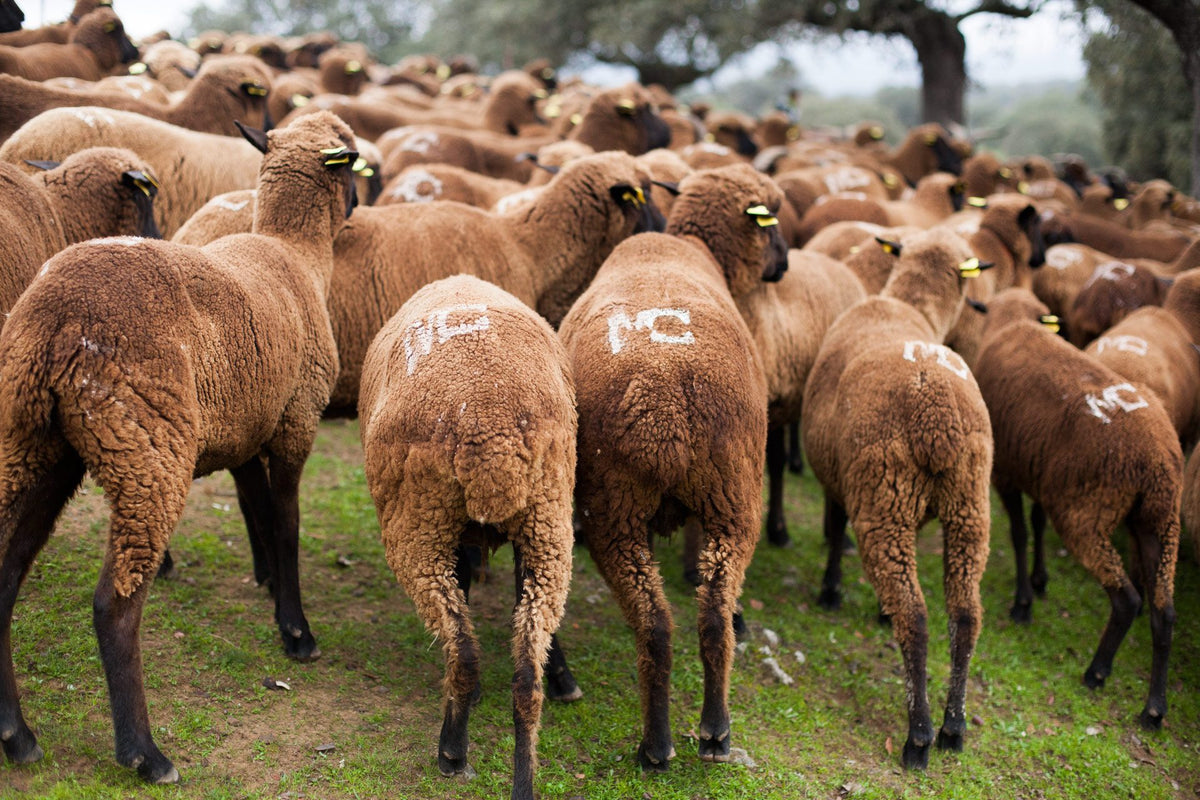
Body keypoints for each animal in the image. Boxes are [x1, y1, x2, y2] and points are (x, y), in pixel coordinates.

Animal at [360, 275, 576, 800]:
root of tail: (489, 423)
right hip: (547, 520)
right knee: (527, 674)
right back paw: (523, 783)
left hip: (419, 524)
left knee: (462, 648)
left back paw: (451, 752)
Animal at [555, 164, 787, 770]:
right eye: (773, 223)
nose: (784, 265)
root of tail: (666, 406)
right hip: (715, 498)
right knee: (690, 619)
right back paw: (694, 734)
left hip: (658, 504)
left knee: (676, 620)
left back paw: (680, 738)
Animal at [801, 228, 992, 769]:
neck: (907, 304)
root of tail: (936, 409)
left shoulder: (840, 480)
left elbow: (833, 530)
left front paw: (830, 591)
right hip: (970, 504)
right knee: (965, 613)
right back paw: (954, 728)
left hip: (883, 503)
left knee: (917, 616)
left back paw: (919, 736)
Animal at [974, 287, 1180, 731]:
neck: (1012, 323)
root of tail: (1156, 458)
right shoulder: (1040, 474)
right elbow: (1036, 524)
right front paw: (1039, 580)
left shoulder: (1007, 471)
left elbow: (1018, 533)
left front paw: (1023, 603)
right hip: (1159, 521)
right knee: (1164, 611)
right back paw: (1154, 709)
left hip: (1086, 514)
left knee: (1128, 599)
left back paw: (1097, 671)